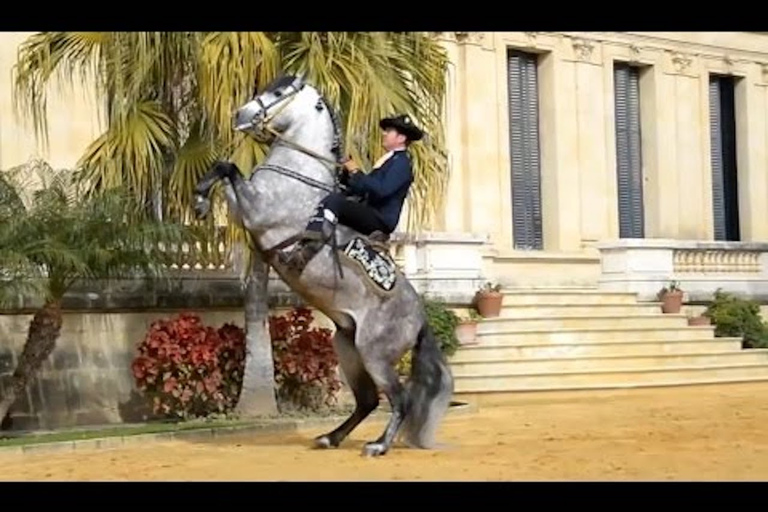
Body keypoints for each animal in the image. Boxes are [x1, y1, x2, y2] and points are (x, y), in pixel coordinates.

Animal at [195, 73, 452, 456]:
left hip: (374, 354)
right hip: (347, 348)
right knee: (367, 401)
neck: (298, 172)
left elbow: (228, 168)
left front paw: (199, 199)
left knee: (398, 399)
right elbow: (224, 168)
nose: (241, 115)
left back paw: (378, 446)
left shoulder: (256, 211)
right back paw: (330, 437)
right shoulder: (246, 210)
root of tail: (420, 320)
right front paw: (200, 199)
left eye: (279, 91)